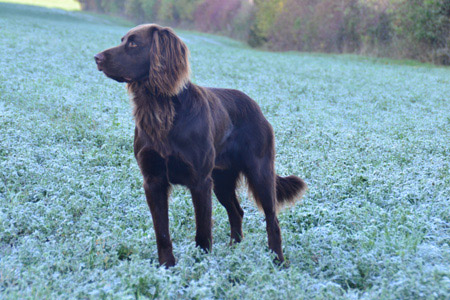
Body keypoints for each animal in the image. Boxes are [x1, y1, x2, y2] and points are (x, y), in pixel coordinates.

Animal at [94, 24, 306, 268]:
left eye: (134, 43)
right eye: (122, 40)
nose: (97, 58)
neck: (161, 110)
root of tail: (257, 108)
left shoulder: (200, 182)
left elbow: (203, 231)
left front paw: (201, 264)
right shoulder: (153, 181)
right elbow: (162, 232)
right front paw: (166, 266)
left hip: (260, 173)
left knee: (272, 219)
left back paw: (277, 260)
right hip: (222, 180)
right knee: (237, 212)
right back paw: (234, 249)